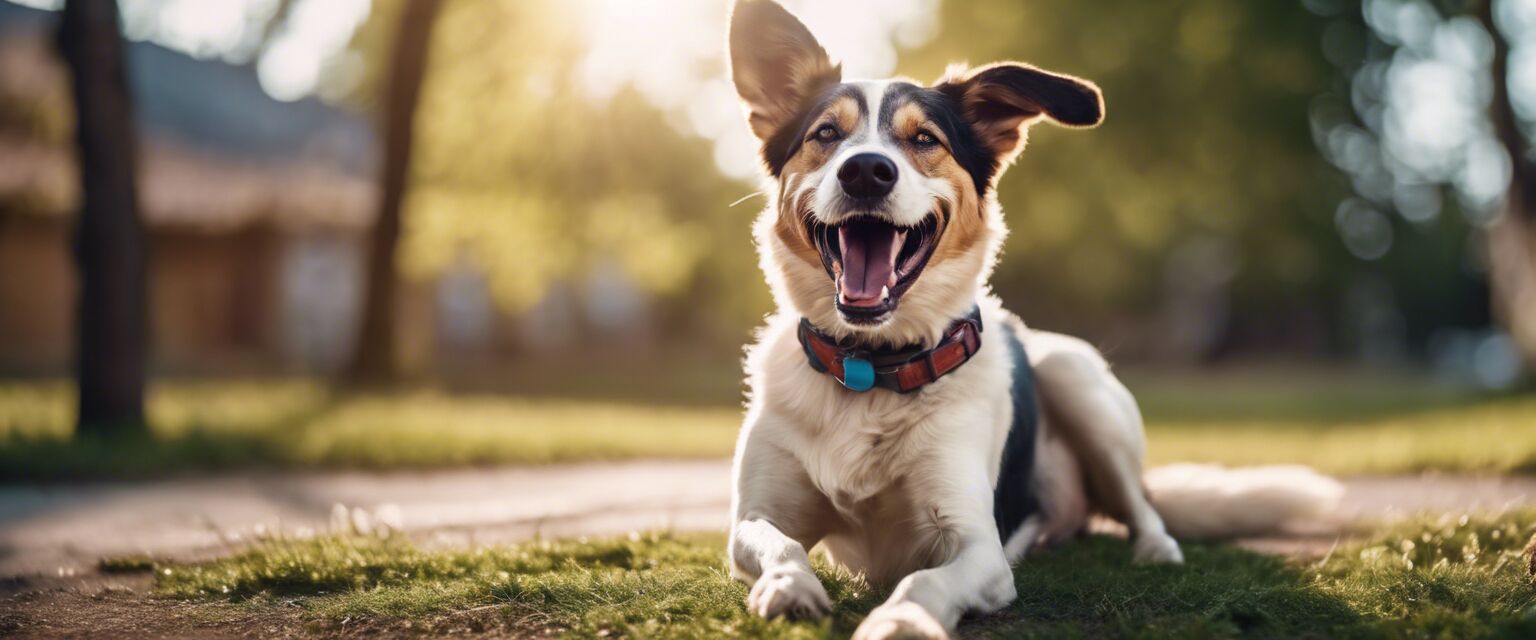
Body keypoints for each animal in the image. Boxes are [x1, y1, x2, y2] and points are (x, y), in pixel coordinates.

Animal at [724, 2, 1339, 635]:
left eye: (924, 139)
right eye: (826, 134)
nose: (866, 171)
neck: (871, 368)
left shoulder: (978, 547)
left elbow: (924, 581)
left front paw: (902, 620)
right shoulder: (755, 516)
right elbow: (779, 543)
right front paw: (789, 586)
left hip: (1075, 375)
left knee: (1142, 506)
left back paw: (1154, 549)